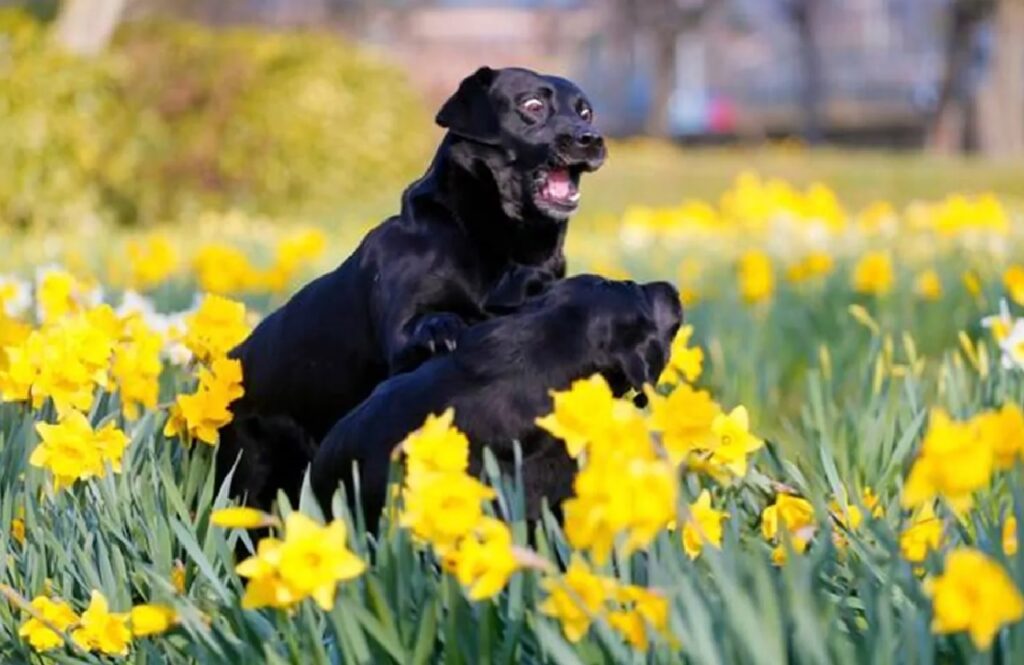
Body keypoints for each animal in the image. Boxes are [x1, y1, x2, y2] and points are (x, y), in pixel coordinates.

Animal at [215, 67, 598, 506]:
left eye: (585, 111)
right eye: (532, 105)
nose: (590, 138)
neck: (497, 247)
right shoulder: (403, 329)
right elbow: (427, 323)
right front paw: (441, 329)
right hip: (249, 472)